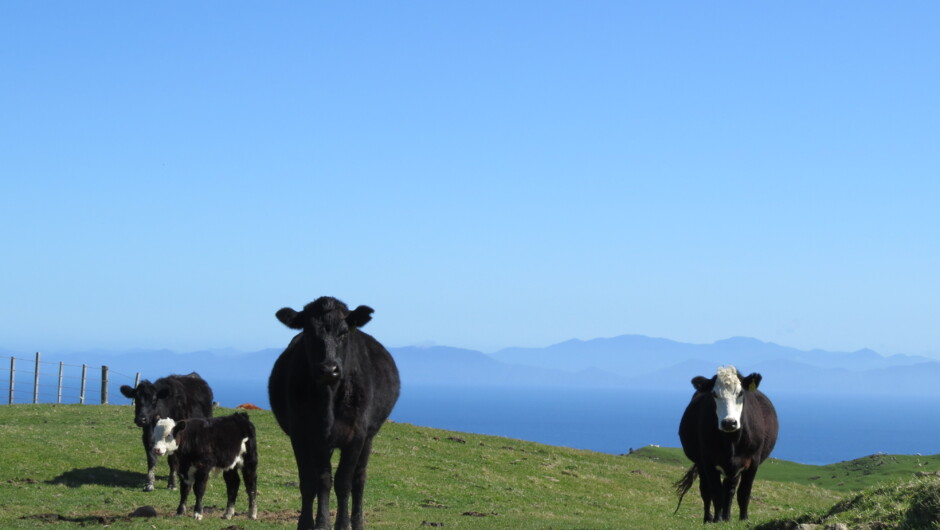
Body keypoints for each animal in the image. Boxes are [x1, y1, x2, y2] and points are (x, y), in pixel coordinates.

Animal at [272, 294, 404, 524]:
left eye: (343, 332)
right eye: (308, 332)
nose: (328, 369)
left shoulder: (356, 436)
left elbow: (344, 482)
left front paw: (342, 524)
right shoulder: (302, 435)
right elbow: (313, 482)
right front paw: (315, 524)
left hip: (368, 437)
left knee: (359, 479)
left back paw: (358, 522)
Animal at [676, 364, 780, 520]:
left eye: (740, 393)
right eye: (714, 394)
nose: (729, 423)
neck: (731, 442)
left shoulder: (753, 461)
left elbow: (744, 493)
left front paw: (743, 519)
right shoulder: (708, 461)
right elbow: (715, 493)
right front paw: (717, 520)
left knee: (729, 490)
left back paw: (727, 517)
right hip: (702, 464)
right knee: (706, 491)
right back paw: (709, 519)